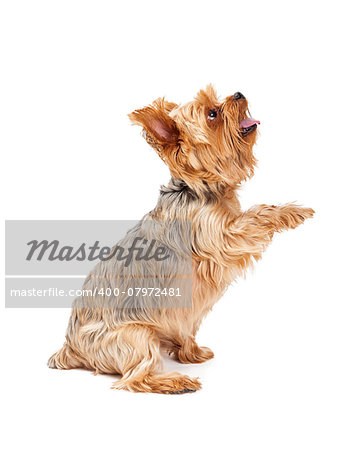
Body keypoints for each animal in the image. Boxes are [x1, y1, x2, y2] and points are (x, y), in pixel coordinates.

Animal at [48, 85, 316, 394]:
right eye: (212, 114)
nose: (238, 93)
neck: (197, 189)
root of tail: (70, 347)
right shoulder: (222, 236)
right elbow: (256, 214)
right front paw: (294, 212)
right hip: (134, 335)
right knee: (136, 376)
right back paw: (176, 381)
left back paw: (189, 353)